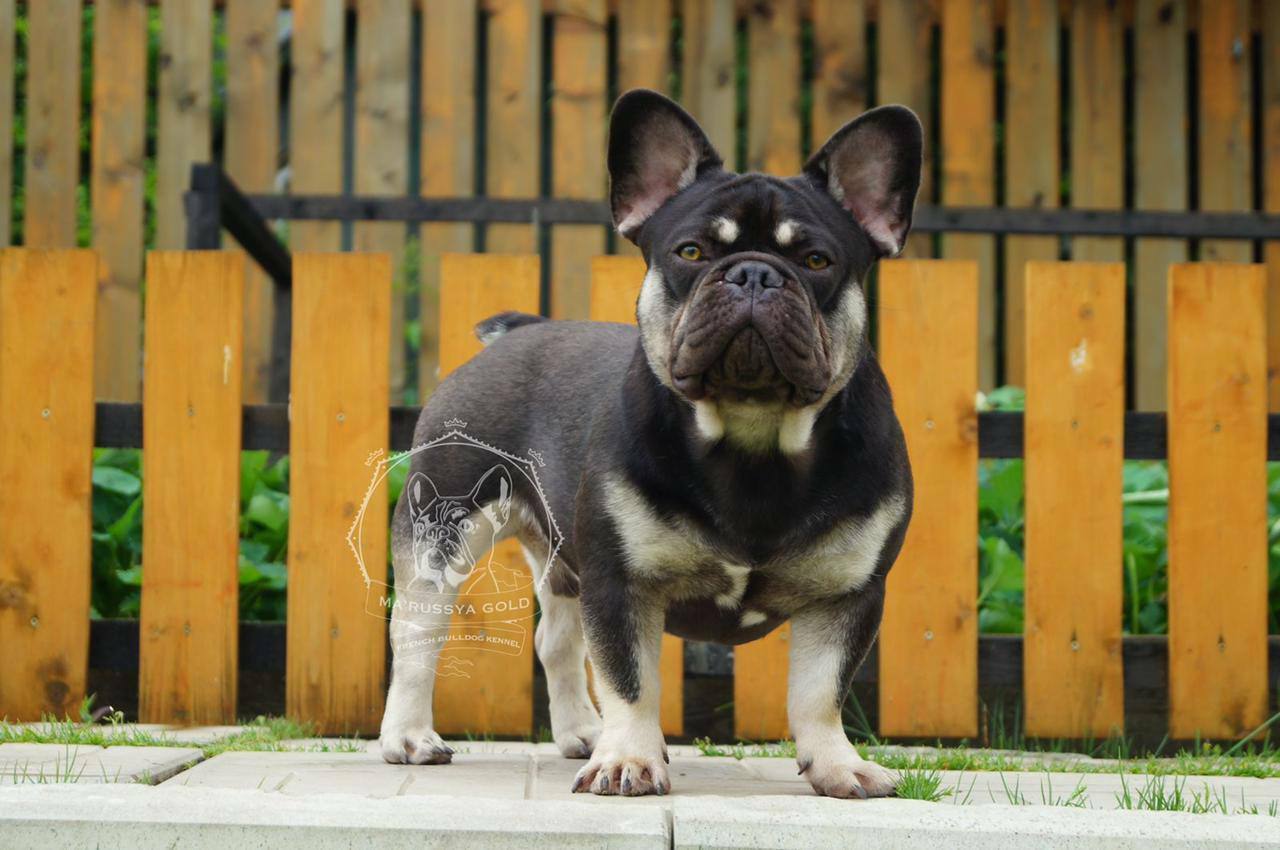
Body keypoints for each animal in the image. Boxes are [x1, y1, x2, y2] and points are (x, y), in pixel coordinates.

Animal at [378, 86, 921, 798]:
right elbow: (631, 678)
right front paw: (630, 760)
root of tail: (517, 332)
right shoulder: (621, 581)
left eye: (816, 261)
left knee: (556, 641)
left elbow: (820, 689)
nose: (754, 273)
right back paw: (410, 738)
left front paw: (836, 765)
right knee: (418, 634)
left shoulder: (848, 594)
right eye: (690, 253)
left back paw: (582, 734)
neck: (754, 439)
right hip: (443, 530)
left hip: (561, 557)